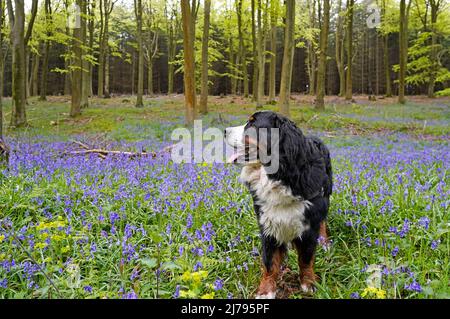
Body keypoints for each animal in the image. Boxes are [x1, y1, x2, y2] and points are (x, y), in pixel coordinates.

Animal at [224, 110, 332, 300]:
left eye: (252, 124)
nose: (224, 131)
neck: (279, 175)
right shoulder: (268, 224)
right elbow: (270, 262)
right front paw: (266, 290)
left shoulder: (309, 224)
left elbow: (306, 258)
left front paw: (308, 283)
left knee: (323, 222)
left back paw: (324, 242)